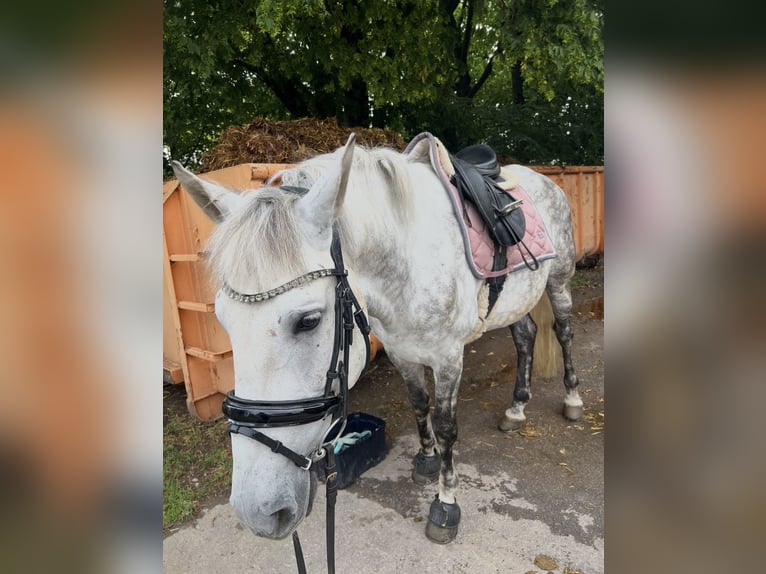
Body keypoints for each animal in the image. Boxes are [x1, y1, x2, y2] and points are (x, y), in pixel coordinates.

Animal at [171, 133, 582, 548]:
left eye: (308, 321)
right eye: (222, 319)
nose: (258, 513)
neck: (408, 260)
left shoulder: (449, 357)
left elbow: (446, 425)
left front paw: (446, 504)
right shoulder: (402, 352)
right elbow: (418, 405)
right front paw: (427, 459)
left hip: (558, 281)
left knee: (563, 332)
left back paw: (572, 400)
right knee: (526, 337)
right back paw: (516, 409)